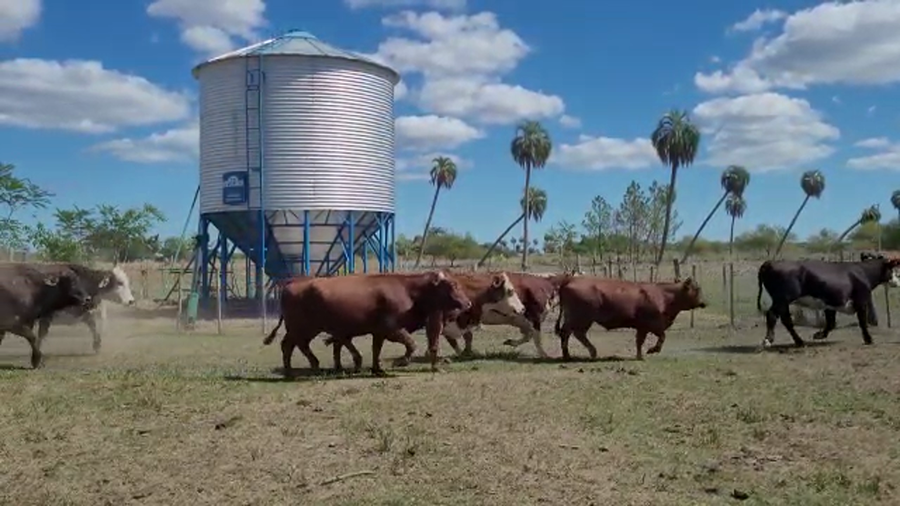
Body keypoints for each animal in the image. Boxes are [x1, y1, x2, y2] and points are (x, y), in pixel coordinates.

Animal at [0, 263, 136, 353]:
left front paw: (97, 345)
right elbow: (41, 334)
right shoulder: (47, 316)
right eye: (120, 283)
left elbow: (92, 325)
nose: (131, 301)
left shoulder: (83, 312)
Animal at [262, 271, 472, 376]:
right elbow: (411, 344)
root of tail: (292, 283)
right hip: (302, 327)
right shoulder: (391, 328)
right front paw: (400, 362)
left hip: (303, 329)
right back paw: (304, 367)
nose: (468, 303)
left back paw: (298, 368)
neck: (409, 289)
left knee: (292, 344)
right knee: (292, 344)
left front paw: (377, 369)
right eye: (453, 285)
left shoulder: (378, 332)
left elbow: (376, 349)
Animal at [324, 271, 527, 365]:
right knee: (339, 341)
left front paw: (464, 353)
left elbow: (464, 338)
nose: (522, 308)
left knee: (338, 342)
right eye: (510, 291)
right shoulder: (440, 322)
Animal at [554, 276, 707, 361]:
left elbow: (639, 341)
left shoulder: (642, 327)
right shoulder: (653, 324)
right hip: (580, 318)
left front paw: (639, 356)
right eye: (696, 290)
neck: (664, 295)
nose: (703, 303)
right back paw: (575, 354)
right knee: (569, 333)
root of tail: (570, 279)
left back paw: (583, 353)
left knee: (574, 334)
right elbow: (662, 337)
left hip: (577, 319)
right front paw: (652, 350)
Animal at [756, 255, 900, 348]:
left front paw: (819, 335)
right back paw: (769, 340)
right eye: (893, 270)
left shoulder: (831, 304)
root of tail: (770, 262)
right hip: (781, 299)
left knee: (785, 320)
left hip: (783, 302)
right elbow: (863, 322)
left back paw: (799, 341)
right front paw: (869, 339)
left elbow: (831, 323)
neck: (863, 272)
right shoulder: (861, 302)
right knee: (773, 316)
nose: (897, 281)